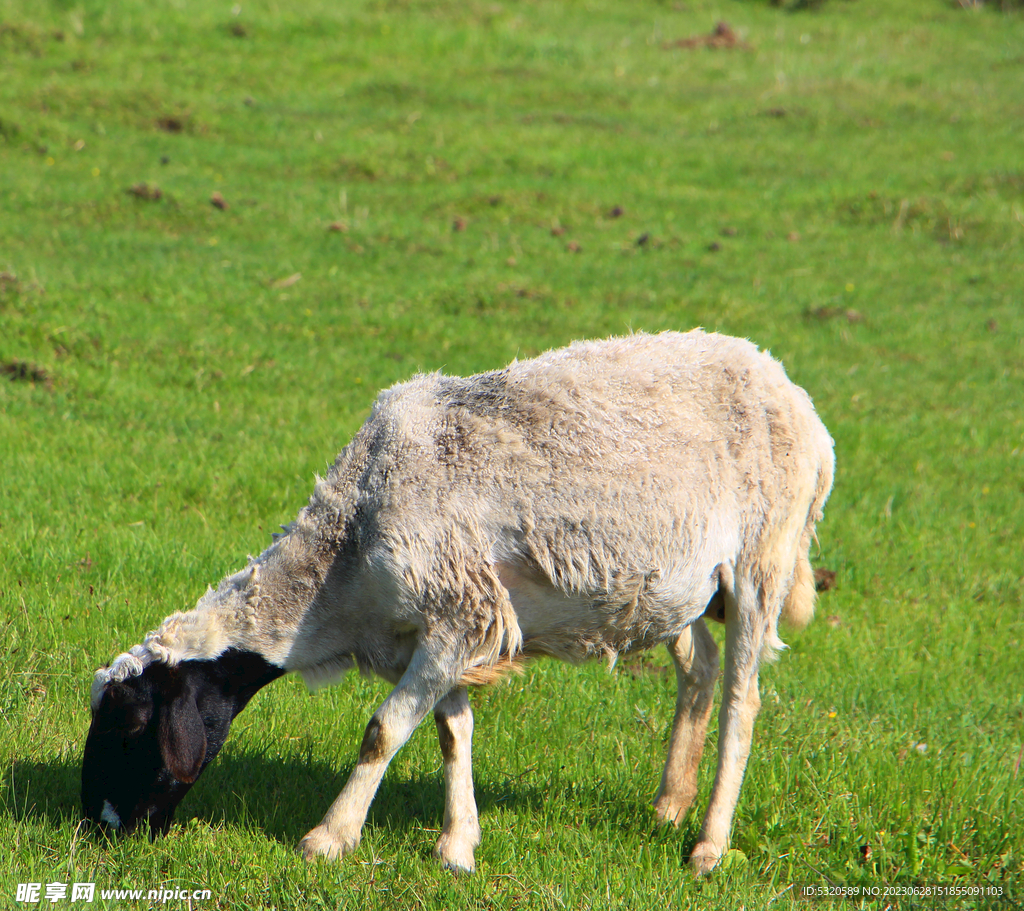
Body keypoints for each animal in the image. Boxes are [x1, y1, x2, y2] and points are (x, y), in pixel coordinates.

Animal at [79, 329, 831, 868]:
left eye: (130, 727)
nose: (96, 829)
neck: (339, 572)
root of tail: (795, 395)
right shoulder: (444, 625)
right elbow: (451, 730)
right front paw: (457, 847)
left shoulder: (460, 613)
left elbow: (383, 729)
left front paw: (329, 838)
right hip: (680, 589)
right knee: (699, 671)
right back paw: (670, 803)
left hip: (762, 558)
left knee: (742, 701)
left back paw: (707, 845)